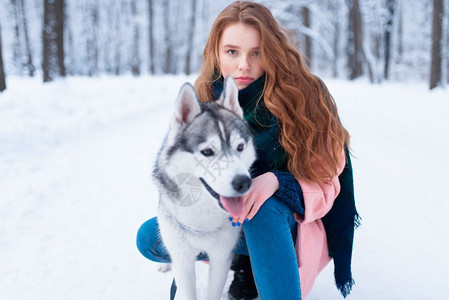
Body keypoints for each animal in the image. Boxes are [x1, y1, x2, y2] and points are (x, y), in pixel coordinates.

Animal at [154, 77, 256, 300]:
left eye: (240, 147)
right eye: (208, 151)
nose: (243, 182)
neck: (201, 222)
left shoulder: (221, 256)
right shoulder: (183, 259)